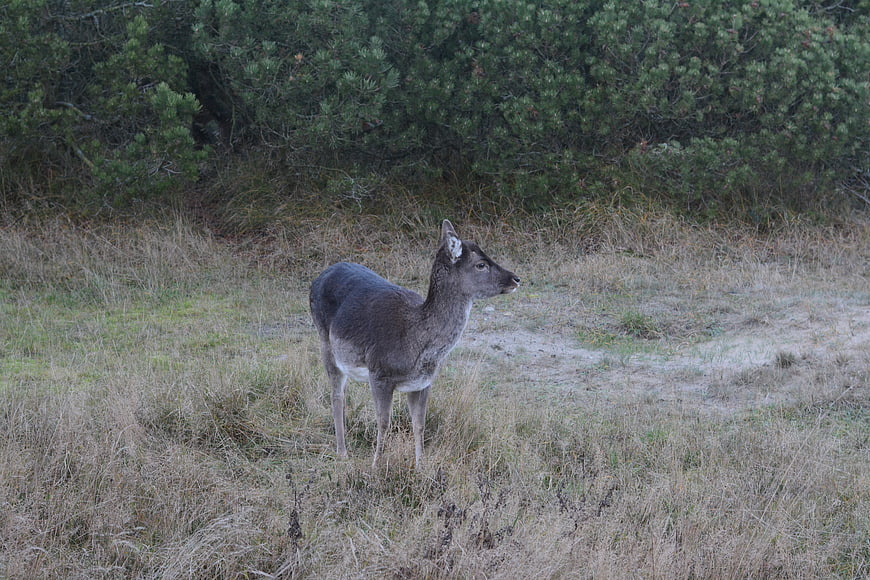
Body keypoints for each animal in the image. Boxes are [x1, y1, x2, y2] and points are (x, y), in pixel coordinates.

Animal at [309, 220, 520, 468]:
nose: (516, 278)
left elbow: (419, 423)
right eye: (480, 264)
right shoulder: (379, 373)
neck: (416, 343)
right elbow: (384, 422)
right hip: (324, 340)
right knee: (336, 395)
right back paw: (342, 452)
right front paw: (376, 466)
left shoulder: (423, 382)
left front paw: (421, 466)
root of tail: (318, 277)